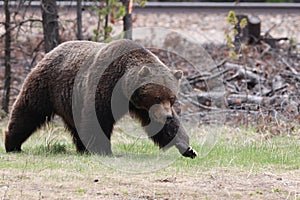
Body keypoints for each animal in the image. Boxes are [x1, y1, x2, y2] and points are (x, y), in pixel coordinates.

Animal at [4, 39, 198, 158]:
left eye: (172, 99)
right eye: (157, 97)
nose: (167, 115)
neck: (124, 87)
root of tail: (52, 50)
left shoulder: (141, 106)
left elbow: (163, 127)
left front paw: (188, 148)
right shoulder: (104, 86)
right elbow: (97, 118)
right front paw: (103, 150)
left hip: (71, 101)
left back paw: (82, 148)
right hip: (47, 86)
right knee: (28, 112)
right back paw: (12, 144)